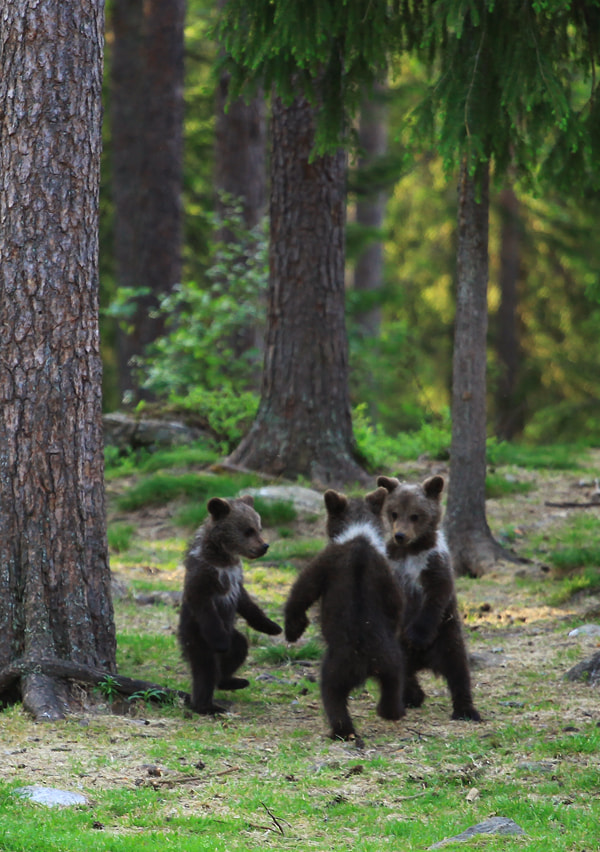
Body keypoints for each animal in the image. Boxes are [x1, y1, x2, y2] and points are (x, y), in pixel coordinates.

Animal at [178, 495, 282, 715]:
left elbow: (247, 603)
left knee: (239, 647)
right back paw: (207, 706)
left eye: (259, 528)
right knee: (205, 668)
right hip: (197, 636)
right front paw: (221, 642)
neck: (223, 557)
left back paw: (231, 680)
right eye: (248, 530)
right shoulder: (204, 579)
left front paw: (273, 626)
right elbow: (205, 606)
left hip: (232, 634)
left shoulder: (235, 578)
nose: (264, 546)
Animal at [284, 487, 405, 745]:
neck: (358, 535)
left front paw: (293, 629)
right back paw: (391, 711)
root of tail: (365, 661)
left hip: (335, 667)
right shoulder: (387, 575)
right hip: (391, 659)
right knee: (394, 683)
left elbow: (302, 590)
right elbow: (397, 605)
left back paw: (341, 731)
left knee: (332, 696)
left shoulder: (325, 562)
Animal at [376, 474, 481, 722]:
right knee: (400, 673)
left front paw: (417, 635)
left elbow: (435, 596)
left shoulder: (434, 563)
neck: (411, 551)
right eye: (394, 513)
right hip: (396, 648)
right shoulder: (393, 566)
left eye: (415, 515)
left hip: (446, 635)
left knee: (458, 669)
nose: (400, 535)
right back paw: (411, 696)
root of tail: (423, 662)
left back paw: (466, 710)